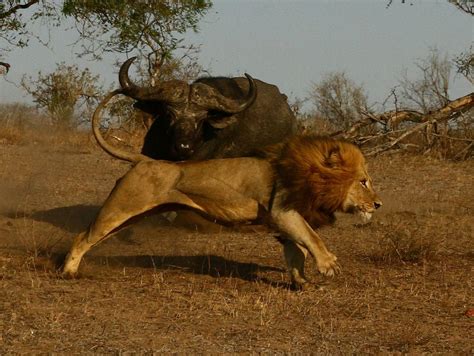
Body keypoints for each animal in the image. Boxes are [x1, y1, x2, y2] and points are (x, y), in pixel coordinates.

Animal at [63, 95, 382, 290]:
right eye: (364, 181)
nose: (378, 204)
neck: (311, 175)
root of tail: (145, 160)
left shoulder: (284, 219)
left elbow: (297, 251)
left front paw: (300, 282)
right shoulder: (282, 210)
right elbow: (311, 238)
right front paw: (328, 265)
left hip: (132, 214)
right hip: (120, 208)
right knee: (82, 236)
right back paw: (68, 272)